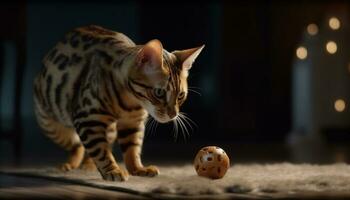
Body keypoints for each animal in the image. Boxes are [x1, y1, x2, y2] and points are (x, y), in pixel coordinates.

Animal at [32, 25, 204, 181]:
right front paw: (112, 171)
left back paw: (88, 166)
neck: (131, 102)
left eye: (180, 95)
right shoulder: (88, 119)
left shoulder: (132, 123)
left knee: (89, 146)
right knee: (78, 145)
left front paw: (138, 169)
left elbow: (132, 149)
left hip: (109, 130)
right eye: (159, 93)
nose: (173, 115)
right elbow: (100, 151)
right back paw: (70, 165)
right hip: (51, 125)